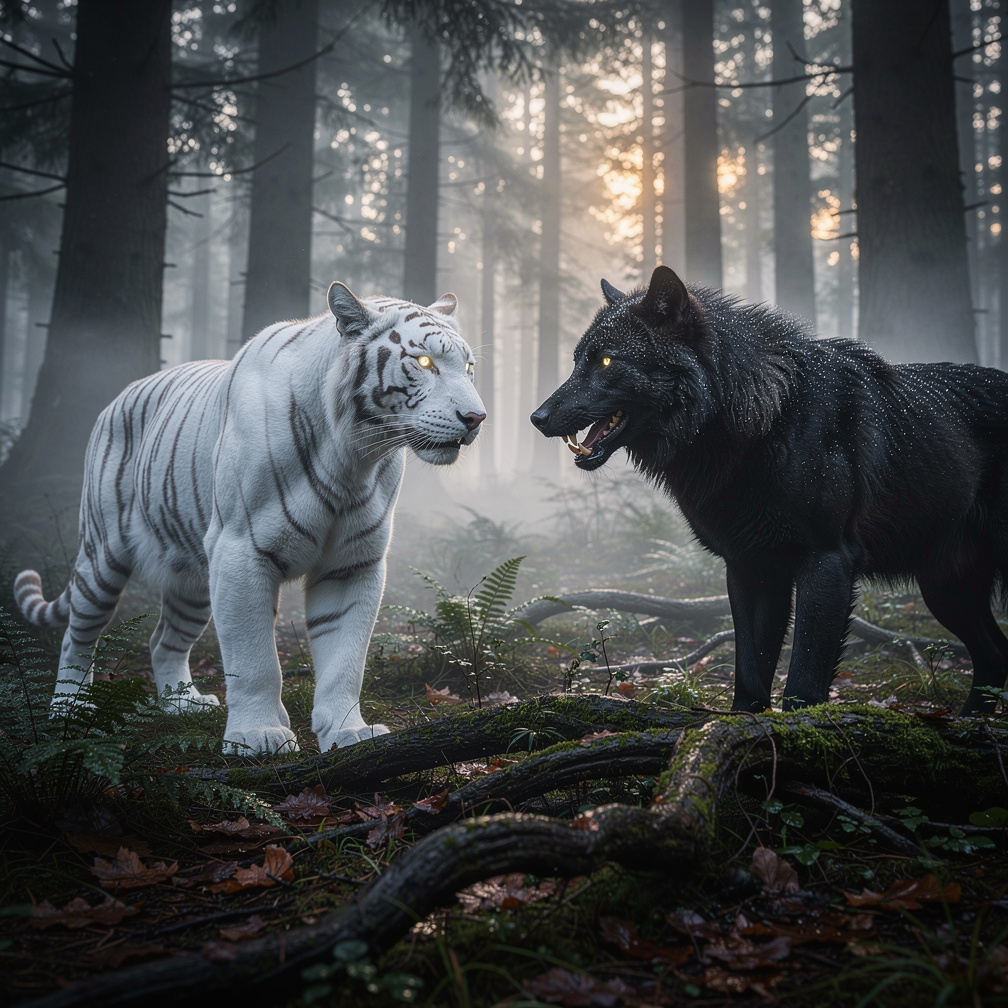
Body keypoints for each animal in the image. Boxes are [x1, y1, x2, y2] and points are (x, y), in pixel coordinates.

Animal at [531, 265, 1008, 715]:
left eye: (606, 362)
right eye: (576, 360)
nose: (537, 417)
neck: (761, 422)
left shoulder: (826, 562)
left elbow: (803, 678)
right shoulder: (750, 566)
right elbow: (750, 667)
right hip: (946, 592)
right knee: (993, 655)